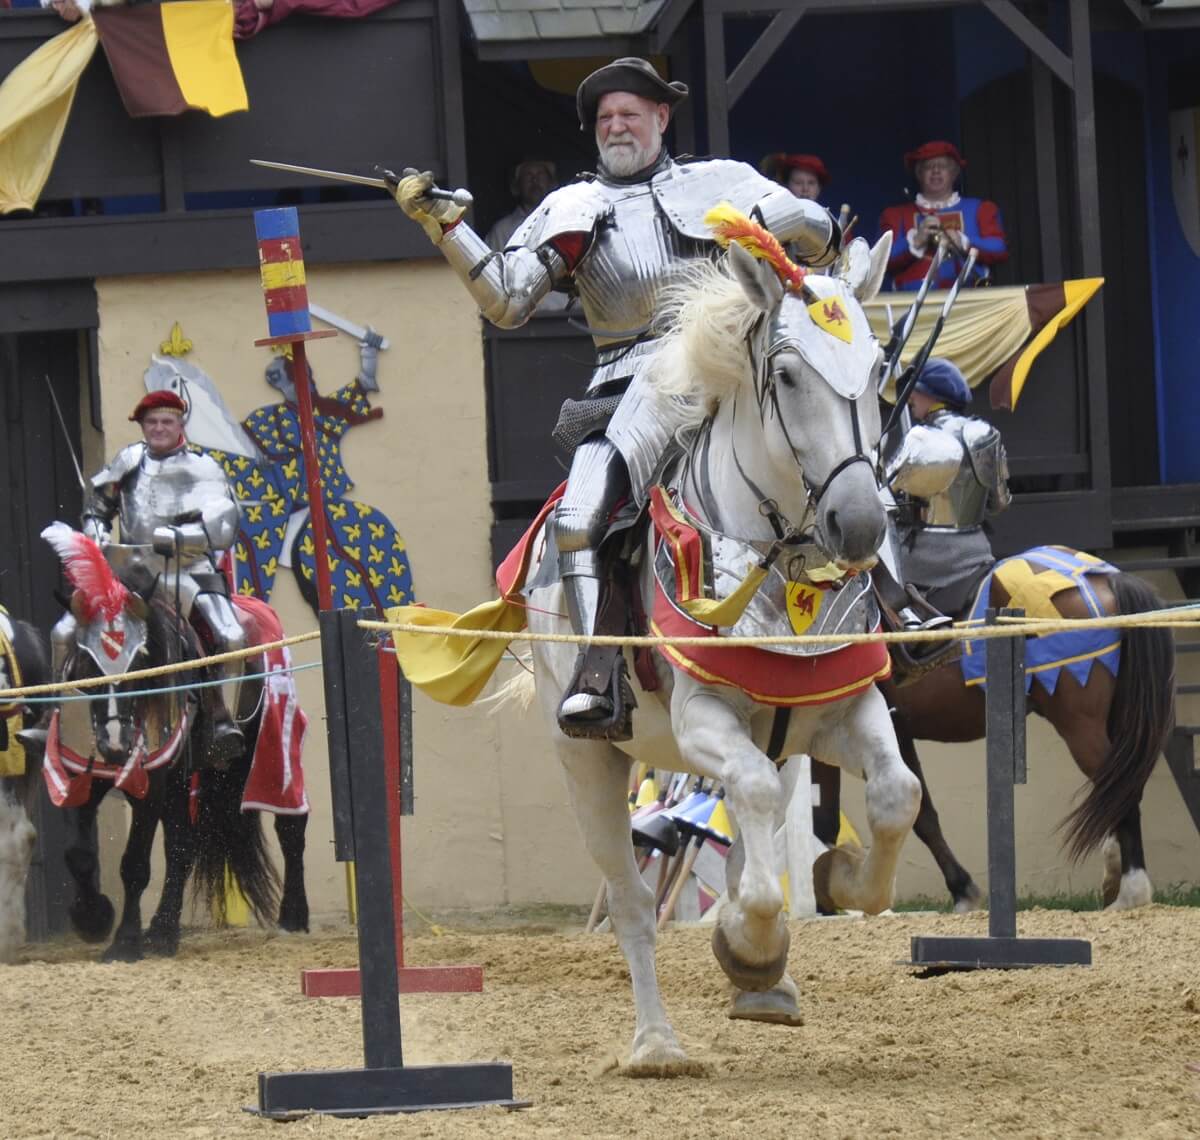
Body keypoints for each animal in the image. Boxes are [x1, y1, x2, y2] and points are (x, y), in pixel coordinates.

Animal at [523, 236, 916, 1075]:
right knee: (635, 903)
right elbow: (757, 818)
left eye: (876, 369)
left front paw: (840, 888)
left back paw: (766, 991)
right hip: (586, 760)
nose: (862, 522)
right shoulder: (702, 721)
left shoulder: (843, 711)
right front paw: (751, 944)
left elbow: (897, 794)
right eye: (789, 375)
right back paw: (659, 1044)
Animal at [811, 556, 1176, 916]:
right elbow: (846, 818)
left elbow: (903, 817)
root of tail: (1104, 578)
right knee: (1119, 785)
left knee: (1121, 789)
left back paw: (1132, 891)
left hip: (1079, 723)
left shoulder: (880, 731)